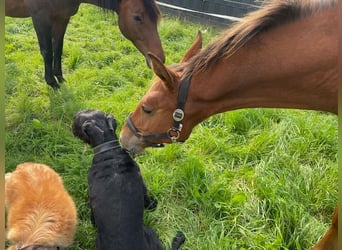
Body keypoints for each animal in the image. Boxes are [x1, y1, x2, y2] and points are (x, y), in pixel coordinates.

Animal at [4, 0, 165, 89]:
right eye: (137, 17)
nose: (159, 58)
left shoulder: (62, 18)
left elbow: (58, 48)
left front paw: (60, 77)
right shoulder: (40, 18)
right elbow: (47, 52)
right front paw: (52, 82)